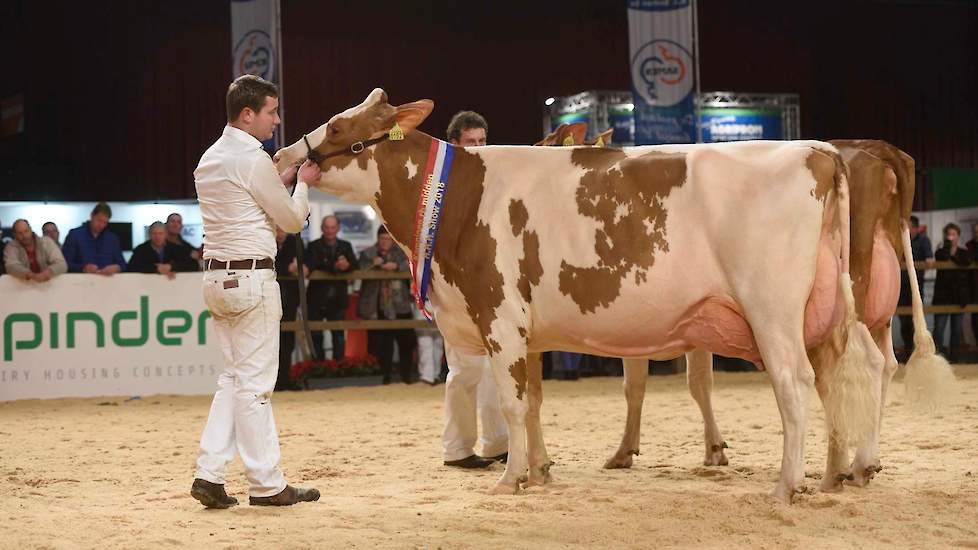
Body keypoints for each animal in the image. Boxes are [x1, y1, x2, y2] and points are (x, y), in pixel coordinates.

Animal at [274, 89, 876, 504]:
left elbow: (513, 404)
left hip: (771, 309)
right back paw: (840, 474)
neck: (457, 197)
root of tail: (817, 150)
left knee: (796, 384)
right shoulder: (528, 331)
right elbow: (535, 402)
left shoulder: (499, 316)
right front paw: (540, 472)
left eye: (337, 124)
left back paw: (786, 487)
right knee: (846, 370)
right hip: (827, 307)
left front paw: (511, 479)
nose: (281, 155)